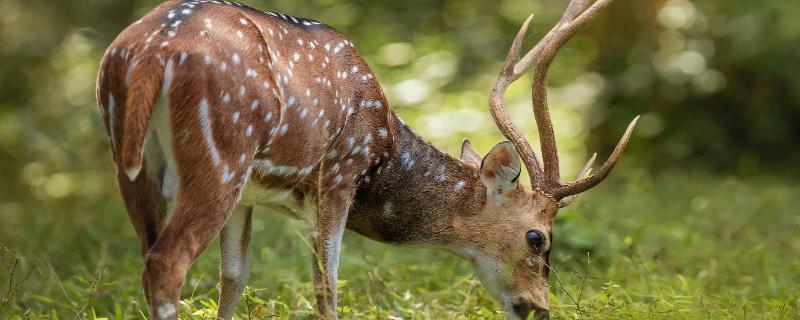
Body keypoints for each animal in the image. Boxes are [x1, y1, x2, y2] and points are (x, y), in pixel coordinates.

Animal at [94, 0, 636, 318]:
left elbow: (234, 279)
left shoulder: (251, 196)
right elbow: (327, 284)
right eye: (537, 238)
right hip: (221, 152)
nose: (539, 308)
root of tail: (149, 51)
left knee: (148, 254)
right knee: (167, 261)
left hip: (135, 162)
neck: (384, 148)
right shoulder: (338, 172)